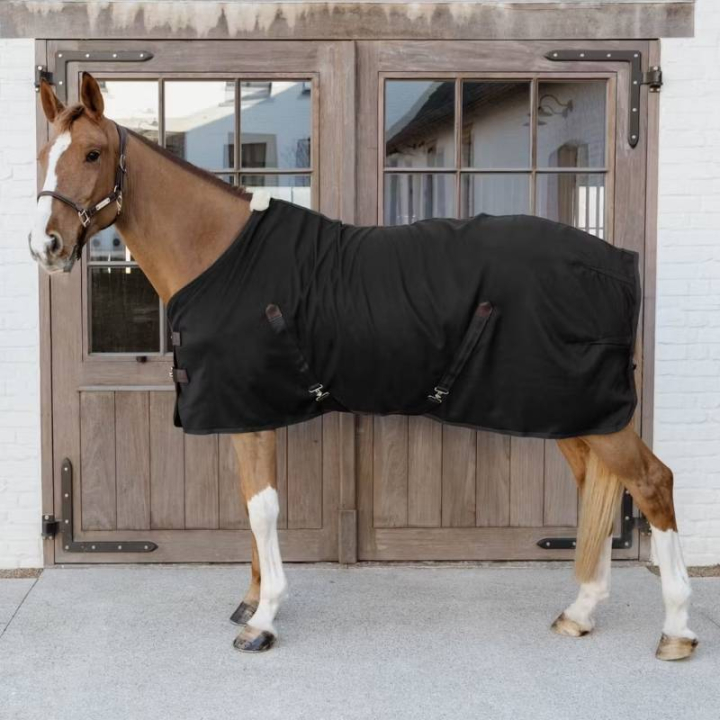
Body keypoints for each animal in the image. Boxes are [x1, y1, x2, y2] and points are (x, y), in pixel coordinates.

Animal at [29, 72, 697, 660]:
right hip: (572, 413)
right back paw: (580, 612)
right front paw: (249, 602)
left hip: (597, 413)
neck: (221, 254)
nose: (46, 246)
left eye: (92, 153)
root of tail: (615, 261)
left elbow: (262, 509)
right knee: (596, 490)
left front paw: (263, 621)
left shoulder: (250, 412)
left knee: (651, 483)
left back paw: (676, 631)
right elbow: (249, 505)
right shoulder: (243, 412)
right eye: (42, 154)